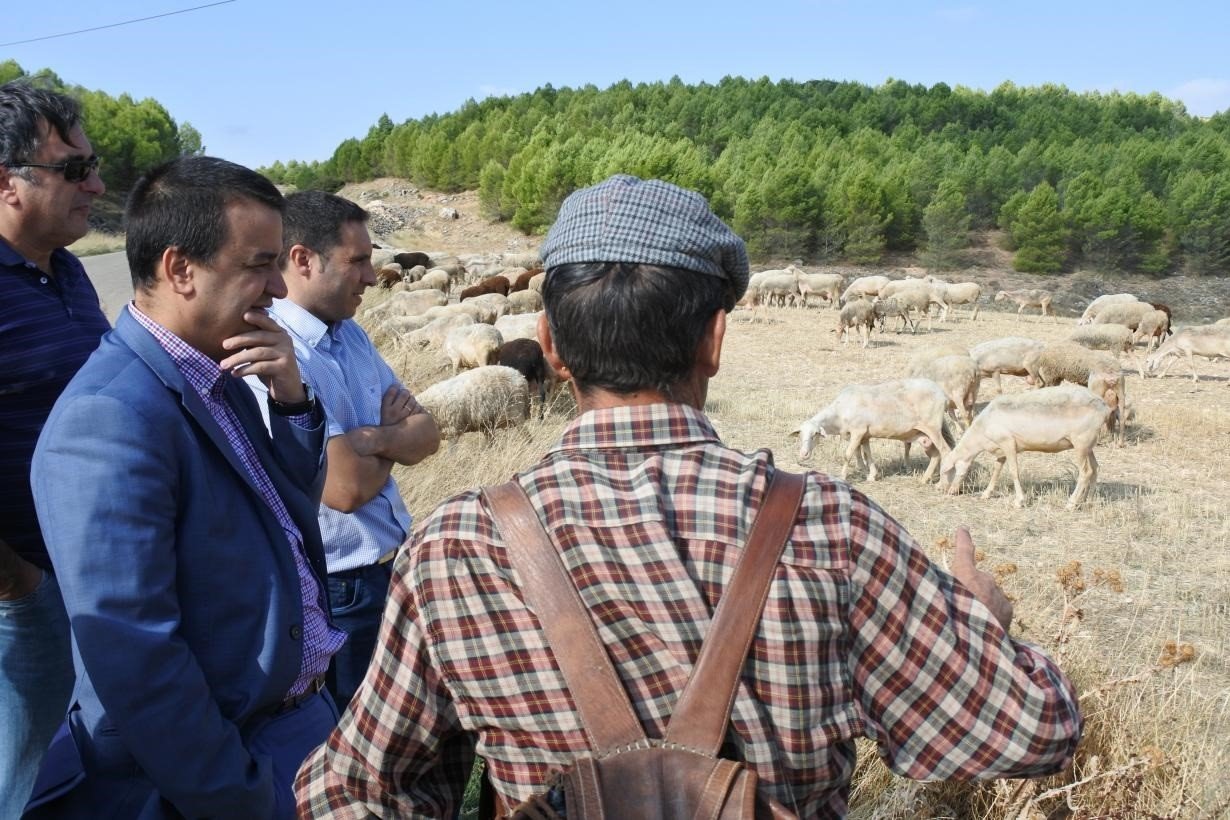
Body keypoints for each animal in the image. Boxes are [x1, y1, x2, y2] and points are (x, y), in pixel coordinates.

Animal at [792, 381, 954, 484]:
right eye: (800, 435)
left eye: (815, 435)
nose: (803, 454)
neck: (839, 412)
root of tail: (942, 394)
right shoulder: (864, 435)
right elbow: (865, 454)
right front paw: (871, 475)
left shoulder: (858, 431)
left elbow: (848, 455)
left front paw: (843, 477)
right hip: (924, 436)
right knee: (936, 454)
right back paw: (925, 479)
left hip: (933, 427)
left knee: (945, 451)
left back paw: (943, 483)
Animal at [939, 383, 1116, 506]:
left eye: (945, 472)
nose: (945, 491)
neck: (981, 432)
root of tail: (1104, 407)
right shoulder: (1000, 450)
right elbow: (996, 470)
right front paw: (986, 493)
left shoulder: (1008, 443)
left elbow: (1014, 471)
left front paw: (1020, 501)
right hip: (1088, 445)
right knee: (1095, 468)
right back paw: (1087, 500)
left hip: (1081, 442)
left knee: (1086, 472)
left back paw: (1072, 503)